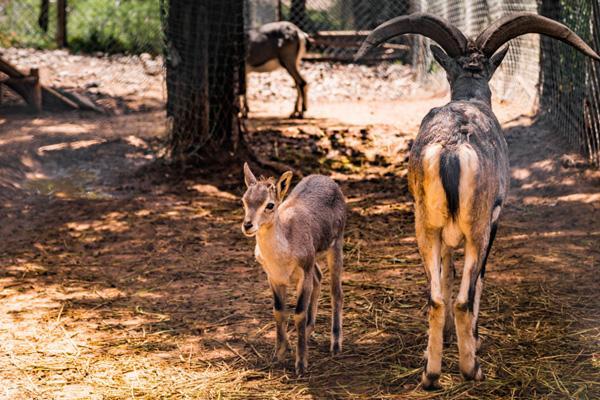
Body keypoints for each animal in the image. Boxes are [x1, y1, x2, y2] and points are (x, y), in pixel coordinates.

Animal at [240, 163, 344, 376]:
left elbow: (299, 312)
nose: (247, 225)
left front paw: (301, 364)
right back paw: (308, 330)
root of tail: (326, 178)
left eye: (270, 204)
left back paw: (335, 344)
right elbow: (279, 310)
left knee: (336, 291)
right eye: (244, 200)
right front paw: (279, 354)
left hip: (336, 243)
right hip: (313, 260)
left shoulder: (303, 272)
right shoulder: (273, 277)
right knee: (319, 277)